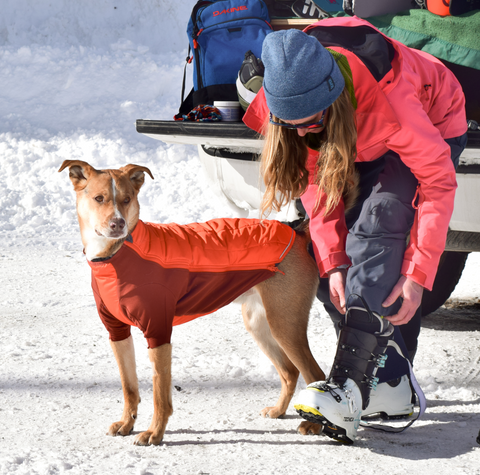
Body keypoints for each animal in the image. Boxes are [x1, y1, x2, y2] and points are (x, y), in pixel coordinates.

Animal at [59, 161, 322, 446]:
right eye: (99, 198)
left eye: (127, 199)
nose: (118, 224)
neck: (116, 254)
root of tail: (296, 231)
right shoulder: (117, 332)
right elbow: (129, 387)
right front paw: (127, 423)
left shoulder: (158, 332)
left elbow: (160, 394)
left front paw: (155, 433)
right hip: (260, 324)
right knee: (290, 372)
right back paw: (279, 410)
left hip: (285, 324)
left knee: (315, 374)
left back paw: (315, 424)